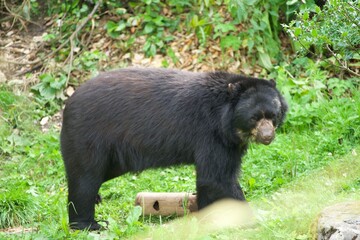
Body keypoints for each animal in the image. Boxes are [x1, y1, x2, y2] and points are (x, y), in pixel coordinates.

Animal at [60, 67, 288, 229]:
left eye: (272, 115)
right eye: (254, 118)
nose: (267, 136)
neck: (227, 122)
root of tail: (68, 104)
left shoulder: (230, 142)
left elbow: (212, 180)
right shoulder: (211, 136)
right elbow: (216, 179)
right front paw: (253, 218)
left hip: (114, 156)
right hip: (88, 136)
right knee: (85, 179)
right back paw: (89, 225)